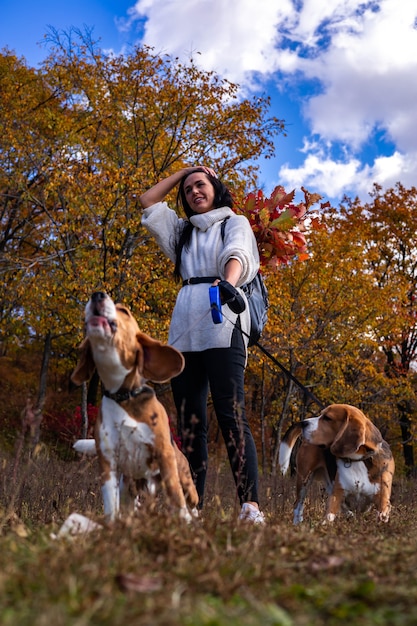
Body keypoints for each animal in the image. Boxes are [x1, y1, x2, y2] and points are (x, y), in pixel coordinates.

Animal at [71, 292, 198, 520]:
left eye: (124, 311)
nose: (97, 294)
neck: (123, 397)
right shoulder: (108, 463)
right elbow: (110, 506)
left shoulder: (164, 455)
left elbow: (176, 497)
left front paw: (184, 520)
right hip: (130, 490)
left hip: (186, 483)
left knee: (192, 503)